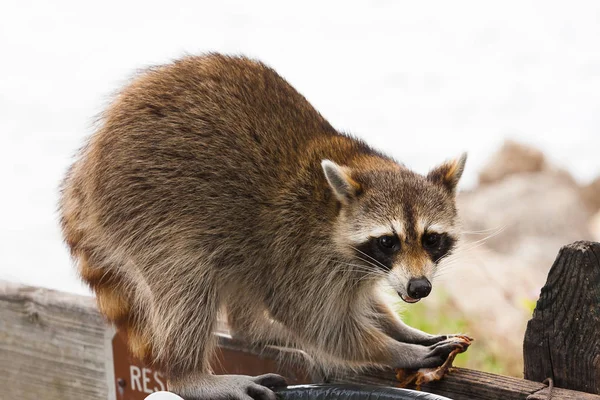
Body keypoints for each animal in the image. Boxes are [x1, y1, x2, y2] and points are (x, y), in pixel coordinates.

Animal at [59, 54, 468, 400]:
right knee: (187, 279)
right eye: (388, 241)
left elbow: (365, 303)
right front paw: (395, 349)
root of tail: (87, 164)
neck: (335, 205)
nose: (420, 287)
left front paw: (403, 330)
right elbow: (316, 321)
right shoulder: (301, 245)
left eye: (432, 239)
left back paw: (256, 331)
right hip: (149, 208)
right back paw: (188, 373)